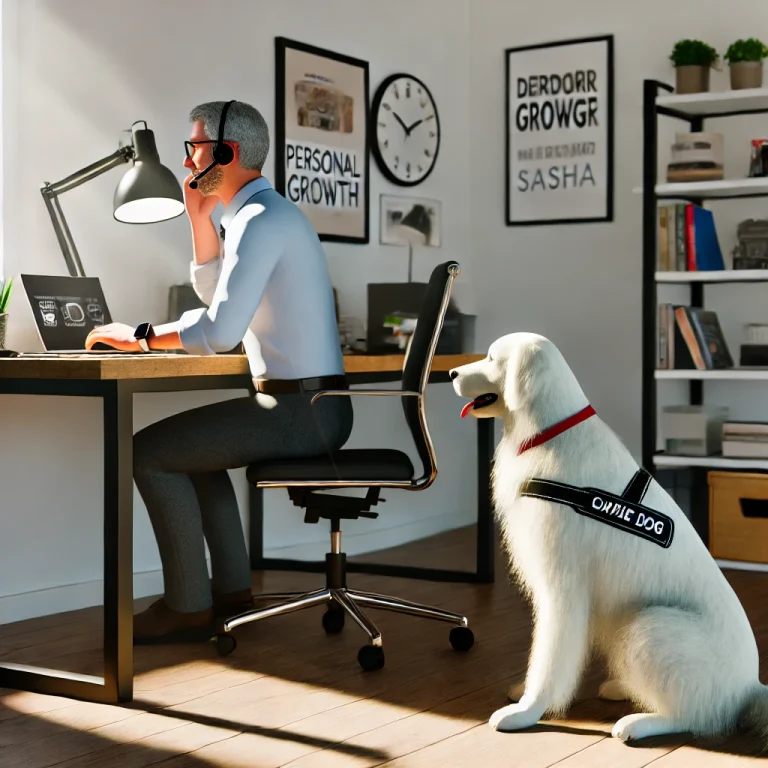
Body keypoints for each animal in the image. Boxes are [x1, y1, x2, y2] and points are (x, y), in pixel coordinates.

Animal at [450, 330, 768, 744]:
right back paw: (623, 688)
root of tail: (750, 687)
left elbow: (549, 657)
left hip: (651, 625)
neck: (547, 433)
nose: (451, 372)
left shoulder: (562, 588)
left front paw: (527, 711)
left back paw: (638, 723)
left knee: (695, 717)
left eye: (490, 358)